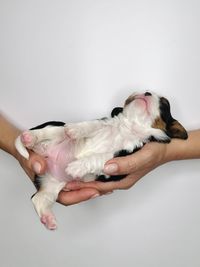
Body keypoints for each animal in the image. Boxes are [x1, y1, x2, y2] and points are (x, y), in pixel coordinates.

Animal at [15, 92, 188, 230]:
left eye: (164, 103)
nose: (146, 92)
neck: (129, 126)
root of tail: (47, 156)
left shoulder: (121, 156)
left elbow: (99, 158)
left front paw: (76, 167)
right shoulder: (102, 122)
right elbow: (91, 125)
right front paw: (76, 129)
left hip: (52, 186)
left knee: (38, 199)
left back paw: (48, 219)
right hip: (56, 130)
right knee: (49, 132)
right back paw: (30, 137)